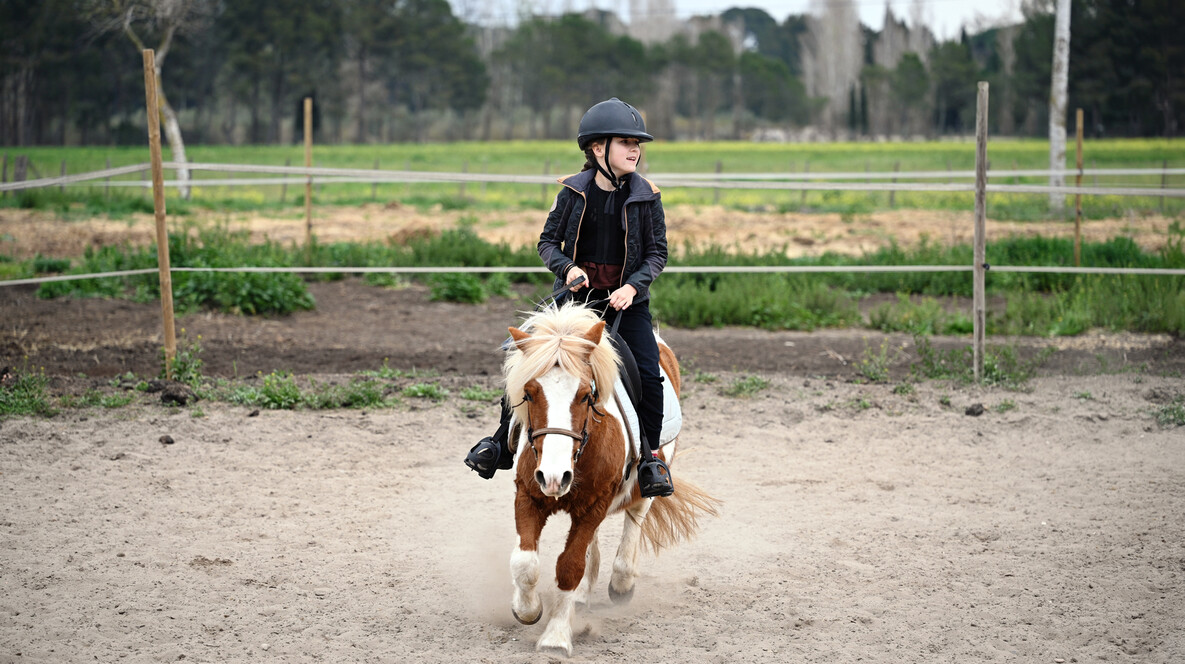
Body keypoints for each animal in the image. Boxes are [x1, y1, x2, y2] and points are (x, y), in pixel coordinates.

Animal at [499, 301, 720, 656]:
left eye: (585, 395)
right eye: (529, 394)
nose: (553, 477)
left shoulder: (596, 503)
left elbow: (569, 566)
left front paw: (556, 637)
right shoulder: (529, 495)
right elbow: (524, 562)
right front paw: (527, 610)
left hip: (647, 480)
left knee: (635, 518)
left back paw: (621, 583)